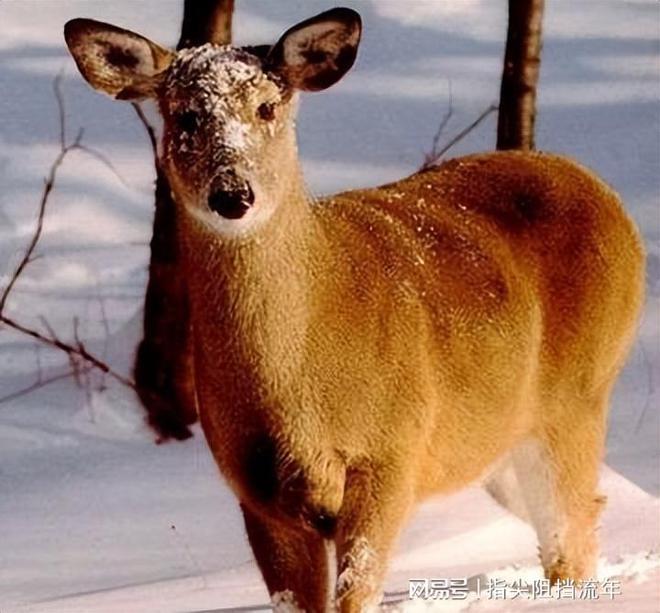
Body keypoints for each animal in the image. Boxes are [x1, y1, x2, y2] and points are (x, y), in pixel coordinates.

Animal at [65, 7, 644, 608]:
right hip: (499, 439)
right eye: (185, 115)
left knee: (574, 531)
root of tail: (598, 191)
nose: (233, 195)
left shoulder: (389, 453)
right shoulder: (253, 487)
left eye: (267, 107)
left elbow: (355, 591)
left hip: (578, 396)